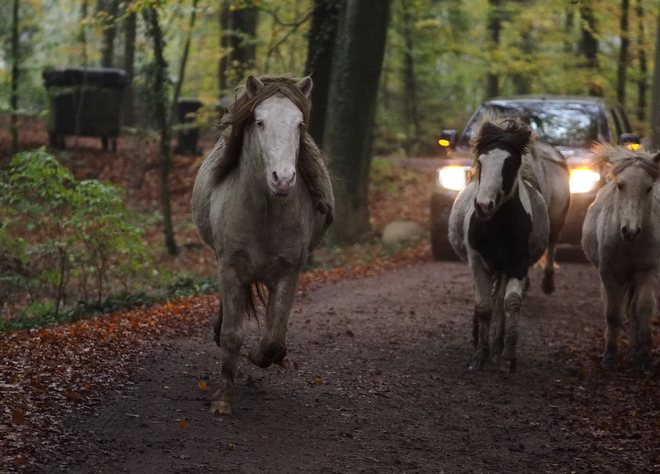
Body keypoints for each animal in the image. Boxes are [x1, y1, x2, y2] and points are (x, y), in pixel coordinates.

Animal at [193, 75, 332, 414]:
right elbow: (232, 336)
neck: (264, 212)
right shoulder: (230, 268)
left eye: (299, 124)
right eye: (259, 122)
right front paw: (222, 399)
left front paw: (261, 356)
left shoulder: (288, 273)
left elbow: (274, 337)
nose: (282, 179)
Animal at [452, 113, 568, 372]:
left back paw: (496, 348)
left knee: (500, 302)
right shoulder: (477, 261)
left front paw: (507, 355)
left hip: (504, 268)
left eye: (510, 164)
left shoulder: (517, 263)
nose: (483, 206)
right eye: (481, 161)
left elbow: (510, 304)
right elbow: (484, 307)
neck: (497, 226)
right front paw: (478, 357)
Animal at [584, 144, 660, 370]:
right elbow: (613, 313)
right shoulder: (609, 274)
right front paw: (610, 357)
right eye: (620, 186)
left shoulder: (647, 271)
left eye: (648, 188)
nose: (631, 231)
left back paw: (634, 351)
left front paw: (644, 356)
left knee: (635, 310)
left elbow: (644, 308)